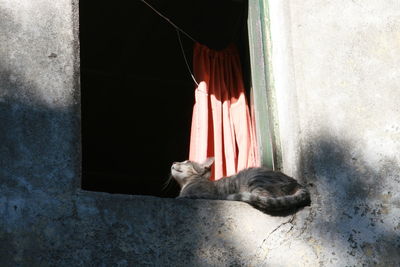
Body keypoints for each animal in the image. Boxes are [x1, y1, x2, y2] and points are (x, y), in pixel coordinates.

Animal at [170, 158, 310, 213]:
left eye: (186, 162)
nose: (174, 162)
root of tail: (297, 182)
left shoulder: (203, 193)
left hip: (254, 180)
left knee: (265, 198)